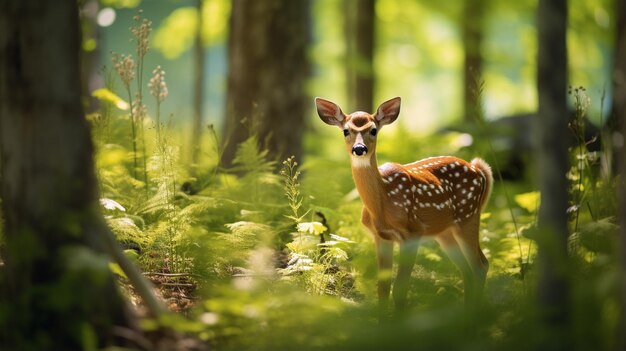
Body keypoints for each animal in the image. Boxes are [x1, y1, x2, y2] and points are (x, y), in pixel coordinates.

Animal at [314, 97, 490, 314]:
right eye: (345, 131)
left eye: (374, 130)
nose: (359, 149)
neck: (382, 205)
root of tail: (478, 168)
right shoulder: (381, 237)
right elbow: (382, 287)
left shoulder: (413, 232)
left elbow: (400, 288)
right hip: (445, 232)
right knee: (467, 270)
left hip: (468, 215)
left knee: (480, 265)